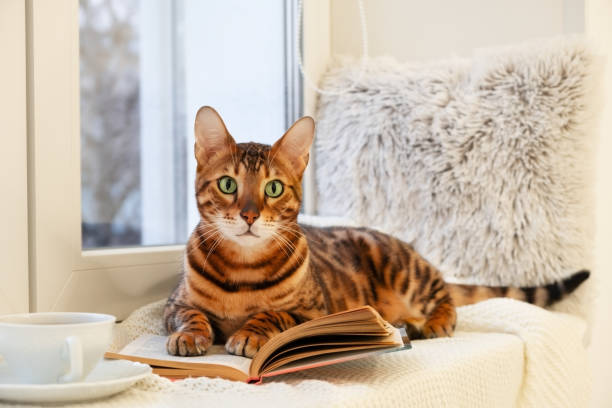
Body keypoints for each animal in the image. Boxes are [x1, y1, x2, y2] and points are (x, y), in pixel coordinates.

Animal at [163, 106, 588, 356]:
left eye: (273, 188)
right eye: (228, 184)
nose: (249, 215)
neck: (244, 269)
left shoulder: (313, 313)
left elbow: (273, 314)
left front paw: (251, 332)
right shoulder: (174, 304)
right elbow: (190, 314)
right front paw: (190, 335)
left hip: (402, 269)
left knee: (445, 297)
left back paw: (432, 323)